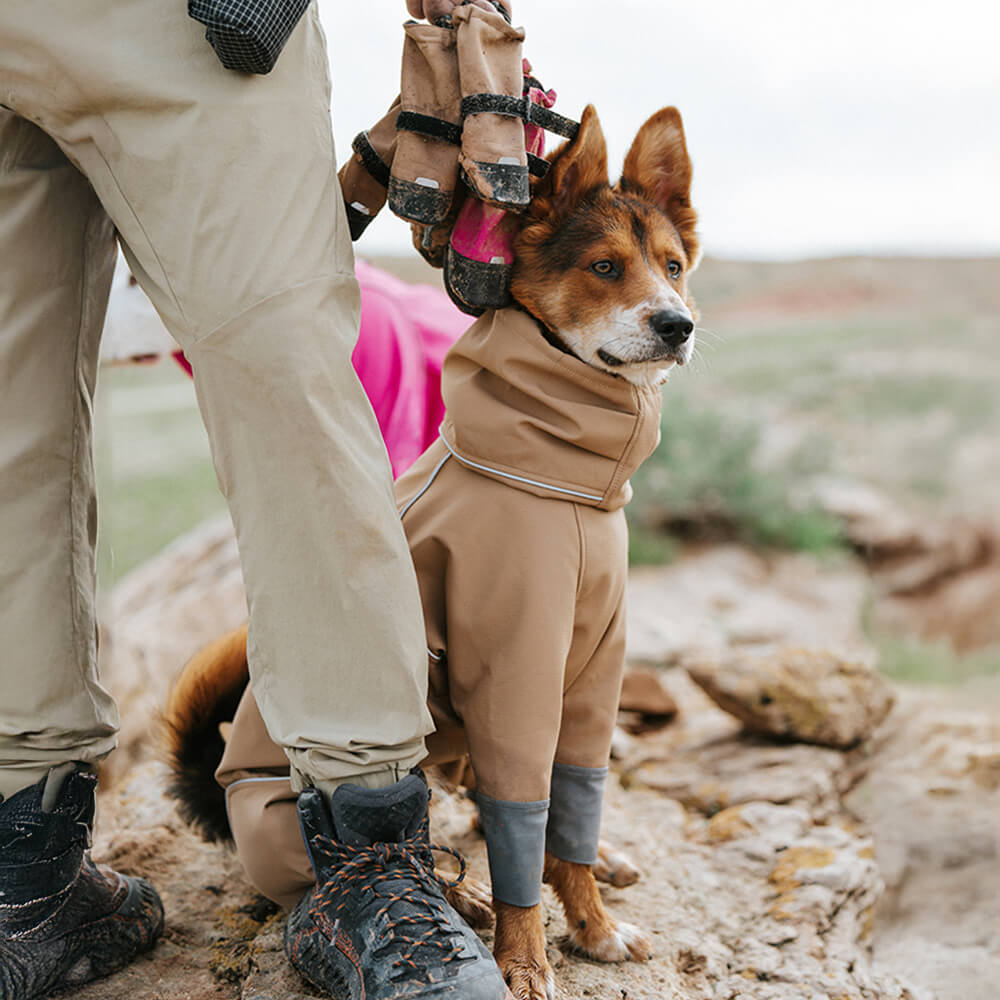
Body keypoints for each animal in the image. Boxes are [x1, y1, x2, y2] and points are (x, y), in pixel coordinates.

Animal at [164, 103, 696, 1000]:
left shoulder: (591, 671)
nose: (678, 324)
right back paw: (459, 899)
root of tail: (218, 796)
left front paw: (592, 927)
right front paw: (525, 960)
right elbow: (525, 826)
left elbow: (570, 810)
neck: (569, 482)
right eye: (604, 267)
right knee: (339, 875)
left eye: (673, 266)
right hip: (320, 806)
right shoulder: (513, 673)